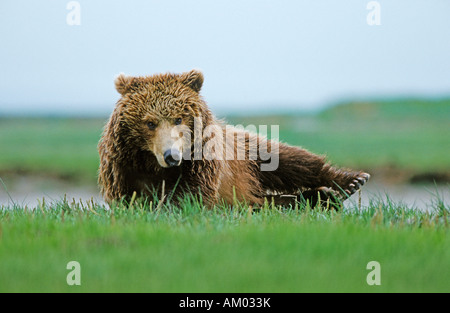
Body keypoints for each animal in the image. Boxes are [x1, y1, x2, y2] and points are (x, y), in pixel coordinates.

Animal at [98, 70, 370, 207]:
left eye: (178, 118)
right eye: (150, 122)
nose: (171, 155)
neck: (154, 165)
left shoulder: (204, 161)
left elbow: (194, 195)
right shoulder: (122, 167)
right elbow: (134, 200)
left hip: (246, 151)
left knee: (290, 161)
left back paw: (349, 182)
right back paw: (315, 197)